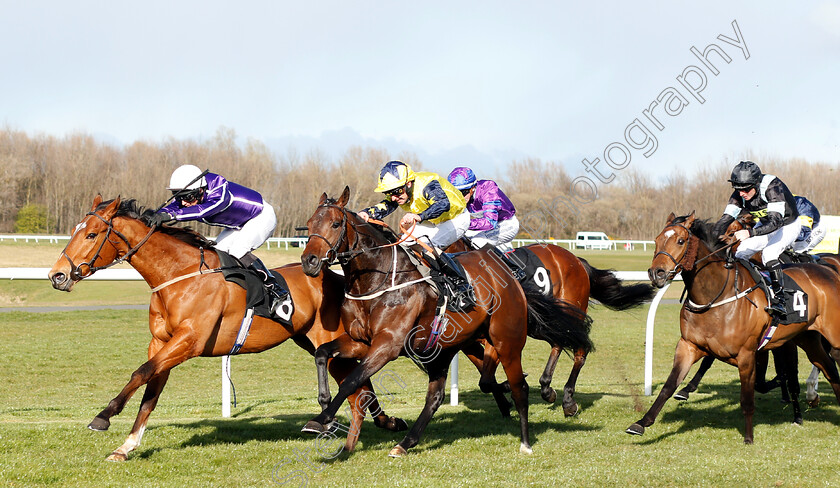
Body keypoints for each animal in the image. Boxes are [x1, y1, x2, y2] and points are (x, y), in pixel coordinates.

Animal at [46, 195, 406, 462]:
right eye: (76, 231)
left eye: (91, 234)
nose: (57, 275)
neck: (178, 275)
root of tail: (338, 277)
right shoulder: (162, 343)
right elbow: (150, 391)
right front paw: (127, 446)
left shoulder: (188, 341)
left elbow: (141, 372)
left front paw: (104, 415)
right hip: (312, 342)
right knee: (359, 390)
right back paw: (370, 427)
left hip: (329, 341)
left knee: (360, 387)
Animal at [298, 188, 592, 458]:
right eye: (310, 224)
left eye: (336, 224)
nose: (309, 261)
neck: (378, 280)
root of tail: (510, 277)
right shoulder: (360, 341)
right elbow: (322, 353)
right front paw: (323, 408)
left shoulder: (387, 345)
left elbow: (351, 380)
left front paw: (322, 420)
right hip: (444, 348)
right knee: (436, 396)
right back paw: (405, 443)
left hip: (508, 340)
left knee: (526, 383)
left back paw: (530, 437)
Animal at [446, 238, 656, 414]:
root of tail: (576, 260)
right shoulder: (469, 343)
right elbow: (485, 378)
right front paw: (506, 398)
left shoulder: (502, 335)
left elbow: (488, 378)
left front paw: (511, 387)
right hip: (547, 322)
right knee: (559, 343)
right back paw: (547, 387)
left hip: (566, 313)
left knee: (579, 349)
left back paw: (567, 400)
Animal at [628, 212, 840, 444]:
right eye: (656, 240)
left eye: (681, 241)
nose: (656, 273)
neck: (714, 294)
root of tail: (829, 270)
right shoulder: (689, 346)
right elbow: (669, 385)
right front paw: (641, 423)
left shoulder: (747, 354)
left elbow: (748, 396)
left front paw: (748, 437)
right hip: (808, 339)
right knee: (829, 369)